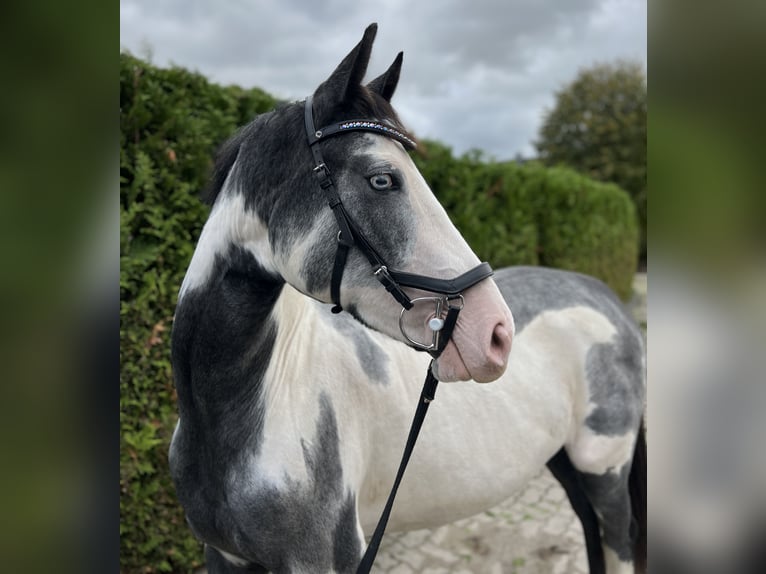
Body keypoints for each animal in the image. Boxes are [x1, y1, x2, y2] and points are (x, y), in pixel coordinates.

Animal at [170, 23, 648, 574]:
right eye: (382, 179)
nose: (495, 332)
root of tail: (605, 298)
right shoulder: (223, 556)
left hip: (604, 469)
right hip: (566, 463)